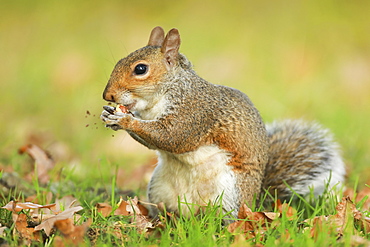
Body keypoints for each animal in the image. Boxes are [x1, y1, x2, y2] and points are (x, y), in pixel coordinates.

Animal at [99, 26, 346, 218]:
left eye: (140, 69)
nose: (107, 95)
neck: (160, 97)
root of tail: (256, 201)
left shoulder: (195, 112)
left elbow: (173, 136)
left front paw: (125, 120)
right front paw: (110, 115)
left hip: (230, 194)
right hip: (159, 189)